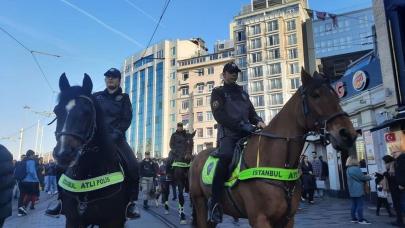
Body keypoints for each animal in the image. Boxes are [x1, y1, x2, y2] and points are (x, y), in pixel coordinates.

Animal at [51, 74, 128, 227]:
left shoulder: (113, 221)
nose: (63, 154)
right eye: (56, 110)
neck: (87, 173)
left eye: (87, 112)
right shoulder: (73, 220)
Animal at [188, 69, 356, 228]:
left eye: (335, 95)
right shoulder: (260, 219)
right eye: (315, 95)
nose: (347, 133)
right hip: (200, 203)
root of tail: (196, 158)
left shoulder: (287, 219)